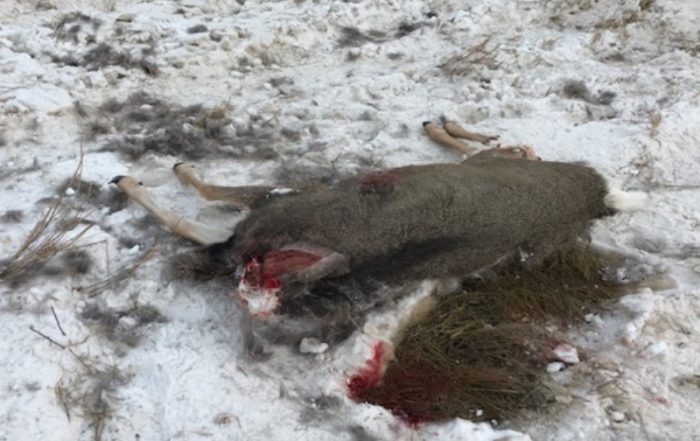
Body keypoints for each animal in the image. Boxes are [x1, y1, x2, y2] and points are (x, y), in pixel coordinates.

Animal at [111, 119, 644, 350]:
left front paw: (440, 125)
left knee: (203, 215)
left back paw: (142, 177)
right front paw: (443, 123)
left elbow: (484, 141)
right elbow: (489, 139)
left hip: (284, 204)